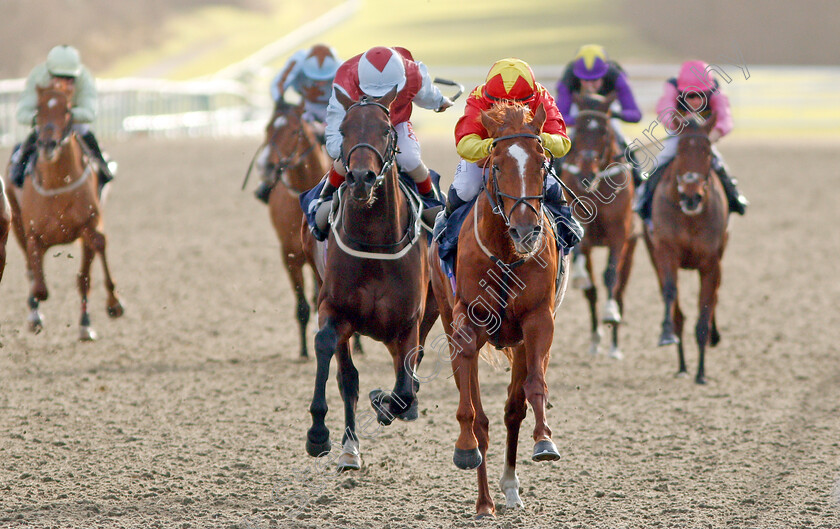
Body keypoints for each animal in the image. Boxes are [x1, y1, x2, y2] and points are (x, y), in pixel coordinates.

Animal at [4, 83, 123, 338]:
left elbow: (96, 249)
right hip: (15, 223)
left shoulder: (89, 224)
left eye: (68, 109)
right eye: (38, 110)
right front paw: (35, 310)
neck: (57, 184)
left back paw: (85, 322)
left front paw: (112, 305)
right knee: (31, 269)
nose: (48, 145)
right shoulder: (32, 234)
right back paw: (35, 316)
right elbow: (39, 285)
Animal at [300, 86, 440, 470]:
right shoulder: (334, 308)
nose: (361, 178)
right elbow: (327, 349)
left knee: (409, 373)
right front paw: (318, 433)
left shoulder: (409, 321)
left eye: (386, 129)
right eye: (344, 130)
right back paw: (349, 446)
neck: (375, 240)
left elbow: (404, 387)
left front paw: (386, 402)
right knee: (348, 377)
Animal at [434, 100, 572, 516]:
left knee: (514, 408)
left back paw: (509, 488)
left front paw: (544, 440)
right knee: (480, 417)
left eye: (542, 162)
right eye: (496, 164)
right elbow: (472, 414)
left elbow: (534, 388)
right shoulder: (465, 323)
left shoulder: (538, 320)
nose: (526, 231)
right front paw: (465, 448)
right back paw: (484, 502)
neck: (508, 255)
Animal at [556, 94, 636, 358]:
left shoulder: (620, 234)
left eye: (603, 131)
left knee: (620, 288)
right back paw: (595, 341)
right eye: (579, 129)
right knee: (591, 293)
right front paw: (580, 276)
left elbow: (611, 275)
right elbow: (587, 276)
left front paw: (610, 312)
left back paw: (614, 345)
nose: (585, 174)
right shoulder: (582, 227)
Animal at [644, 112, 728, 384]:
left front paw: (701, 372)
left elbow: (707, 304)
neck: (690, 217)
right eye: (680, 151)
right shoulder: (666, 252)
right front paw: (666, 333)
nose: (692, 197)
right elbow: (671, 293)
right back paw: (681, 364)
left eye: (707, 151)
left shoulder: (711, 262)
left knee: (715, 296)